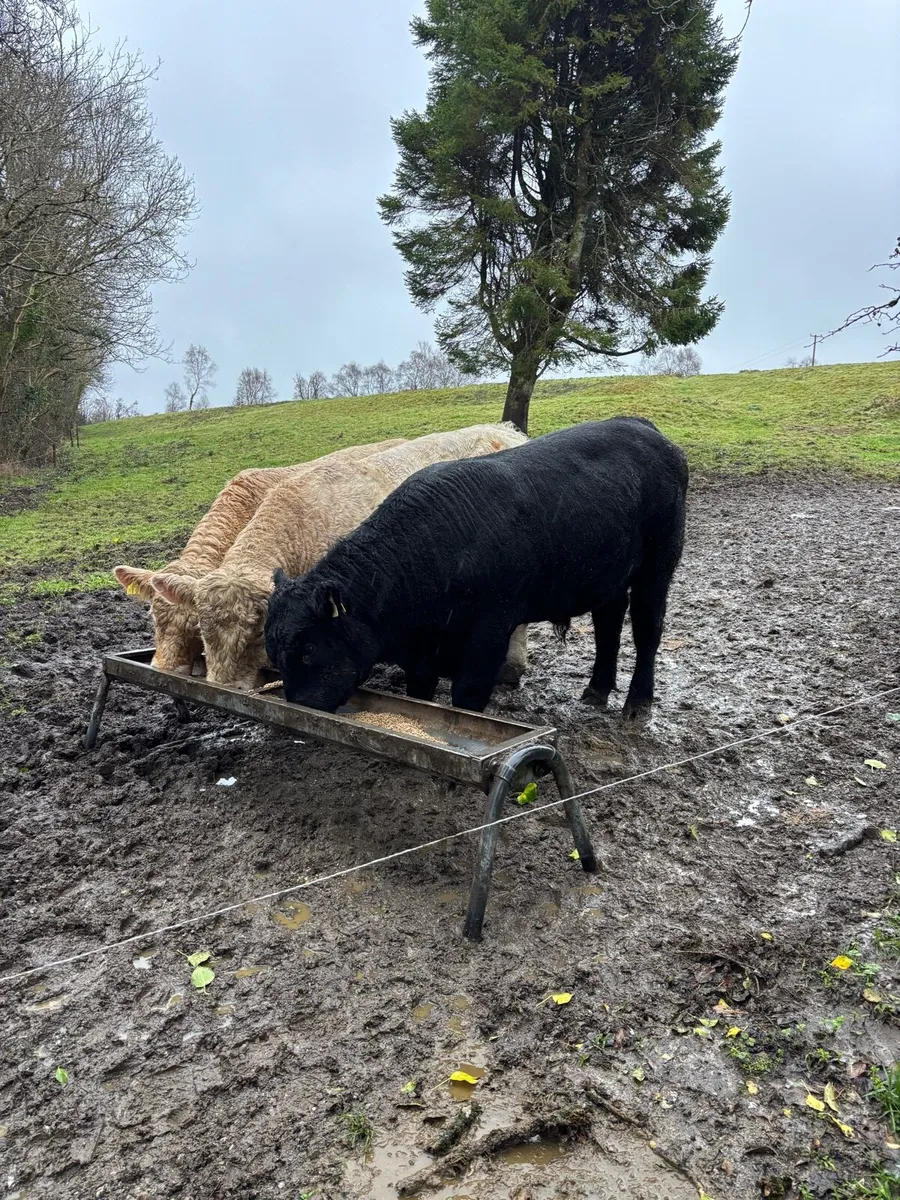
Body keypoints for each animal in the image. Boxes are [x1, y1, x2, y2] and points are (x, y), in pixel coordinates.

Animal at [264, 417, 688, 718]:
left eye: (309, 647)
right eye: (272, 651)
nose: (298, 705)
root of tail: (642, 427)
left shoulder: (490, 627)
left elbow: (467, 693)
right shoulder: (421, 653)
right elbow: (419, 690)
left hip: (658, 564)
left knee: (647, 629)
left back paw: (637, 703)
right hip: (608, 577)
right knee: (608, 626)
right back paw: (597, 689)